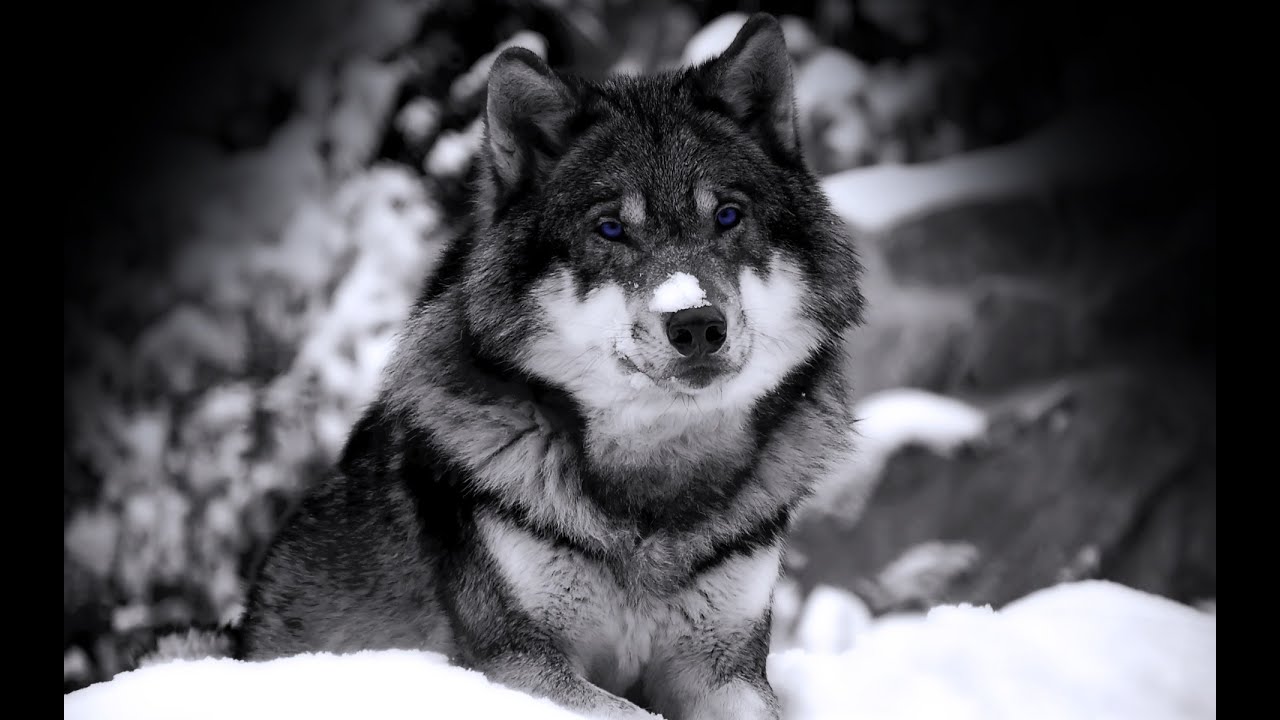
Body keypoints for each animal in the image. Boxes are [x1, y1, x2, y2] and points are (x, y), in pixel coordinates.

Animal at [167, 13, 864, 720]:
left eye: (727, 216)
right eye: (610, 229)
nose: (695, 323)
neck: (653, 489)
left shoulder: (726, 668)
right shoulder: (516, 661)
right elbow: (630, 712)